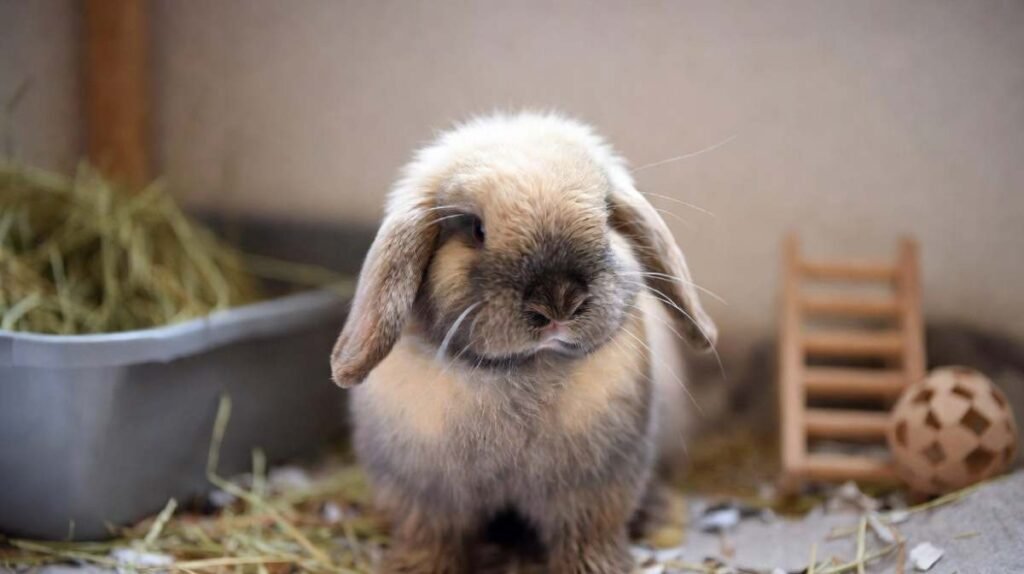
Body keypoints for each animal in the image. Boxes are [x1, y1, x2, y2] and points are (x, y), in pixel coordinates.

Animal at [330, 112, 717, 574]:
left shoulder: (593, 488)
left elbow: (588, 535)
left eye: (606, 216)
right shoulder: (423, 495)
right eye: (475, 229)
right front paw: (414, 568)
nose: (559, 301)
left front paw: (598, 567)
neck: (518, 372)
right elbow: (429, 537)